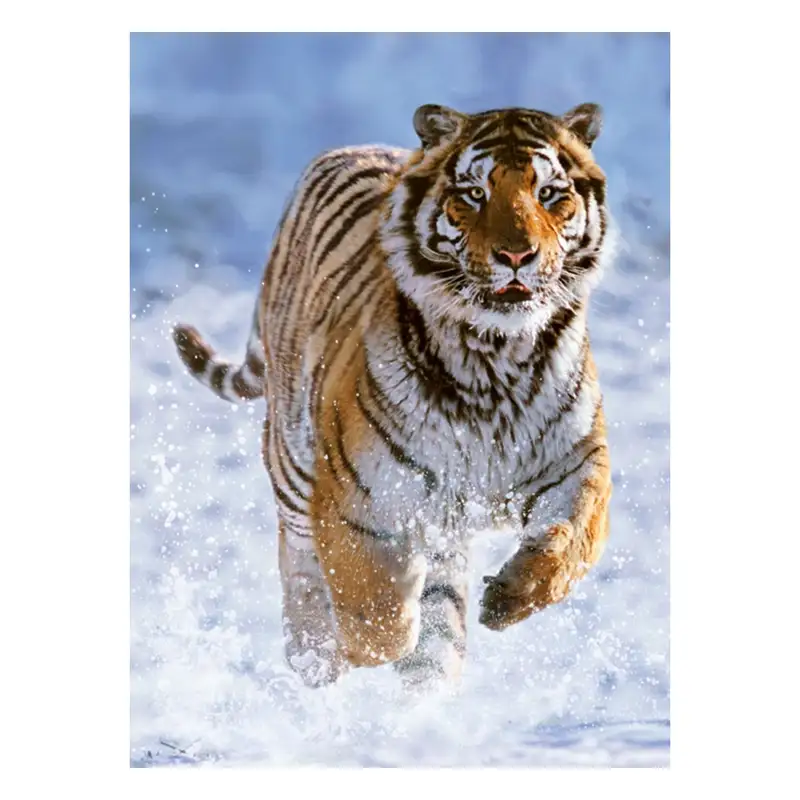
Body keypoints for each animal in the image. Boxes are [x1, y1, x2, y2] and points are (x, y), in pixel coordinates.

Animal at [172, 102, 614, 690]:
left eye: (548, 194)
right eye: (475, 194)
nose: (517, 255)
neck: (494, 358)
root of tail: (349, 149)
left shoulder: (577, 462)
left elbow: (573, 540)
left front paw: (509, 598)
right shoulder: (356, 497)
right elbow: (376, 617)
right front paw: (358, 644)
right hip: (292, 463)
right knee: (299, 563)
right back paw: (315, 657)